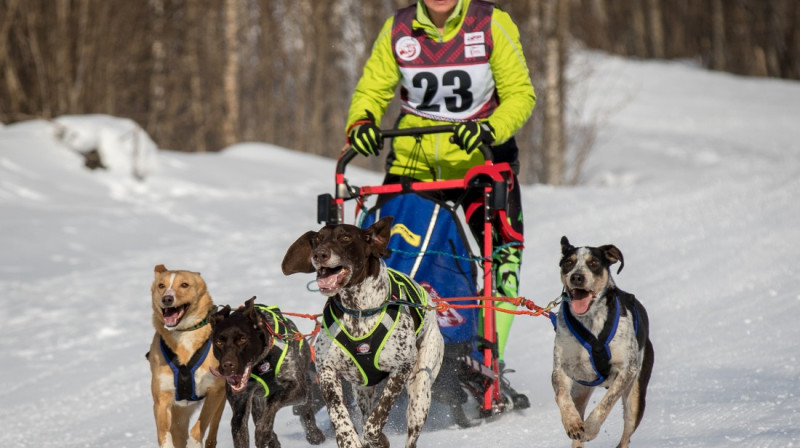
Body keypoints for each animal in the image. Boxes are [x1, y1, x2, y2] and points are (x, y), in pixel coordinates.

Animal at [147, 264, 227, 446]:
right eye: (161, 286)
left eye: (184, 285)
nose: (167, 299)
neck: (183, 335)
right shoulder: (161, 399)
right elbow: (163, 434)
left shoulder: (215, 391)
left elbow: (199, 427)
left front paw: (194, 443)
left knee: (211, 435)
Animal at [282, 215, 444, 446]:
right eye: (317, 239)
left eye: (345, 238)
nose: (319, 254)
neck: (358, 312)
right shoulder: (327, 371)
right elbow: (338, 412)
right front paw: (348, 438)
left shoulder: (401, 369)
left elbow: (378, 415)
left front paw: (374, 436)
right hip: (362, 388)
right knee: (365, 410)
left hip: (420, 391)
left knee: (410, 433)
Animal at [552, 236, 656, 446]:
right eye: (568, 262)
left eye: (594, 263)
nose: (577, 277)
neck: (590, 321)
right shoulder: (561, 368)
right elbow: (562, 396)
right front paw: (572, 423)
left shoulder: (627, 370)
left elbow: (606, 403)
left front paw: (591, 428)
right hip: (581, 390)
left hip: (635, 398)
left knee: (625, 438)